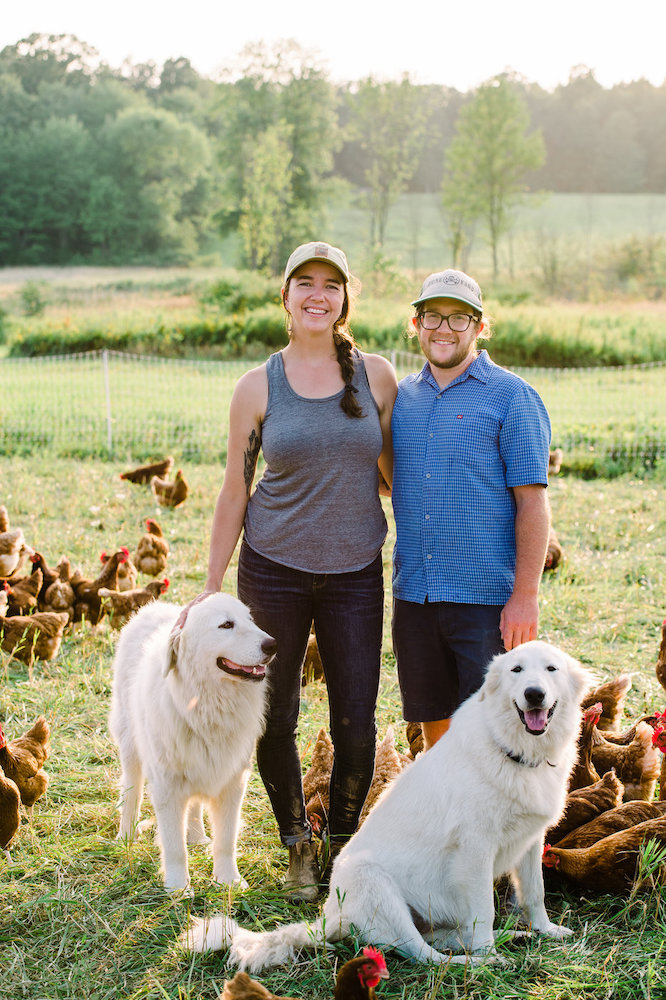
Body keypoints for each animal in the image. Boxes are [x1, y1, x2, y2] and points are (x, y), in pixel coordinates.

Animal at [109, 592, 274, 892]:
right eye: (226, 625)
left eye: (250, 619)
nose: (273, 645)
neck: (206, 704)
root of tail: (153, 606)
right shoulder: (167, 785)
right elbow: (174, 846)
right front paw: (178, 887)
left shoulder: (232, 781)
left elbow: (226, 839)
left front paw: (229, 880)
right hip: (131, 746)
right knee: (131, 791)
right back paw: (126, 835)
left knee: (195, 805)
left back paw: (197, 837)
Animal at [183, 640, 592, 968]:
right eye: (516, 670)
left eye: (551, 669)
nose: (535, 694)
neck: (514, 750)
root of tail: (331, 918)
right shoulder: (475, 852)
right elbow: (483, 912)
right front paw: (490, 953)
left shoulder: (531, 841)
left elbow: (535, 893)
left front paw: (546, 930)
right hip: (375, 884)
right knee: (428, 956)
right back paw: (478, 962)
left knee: (443, 940)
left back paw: (515, 937)